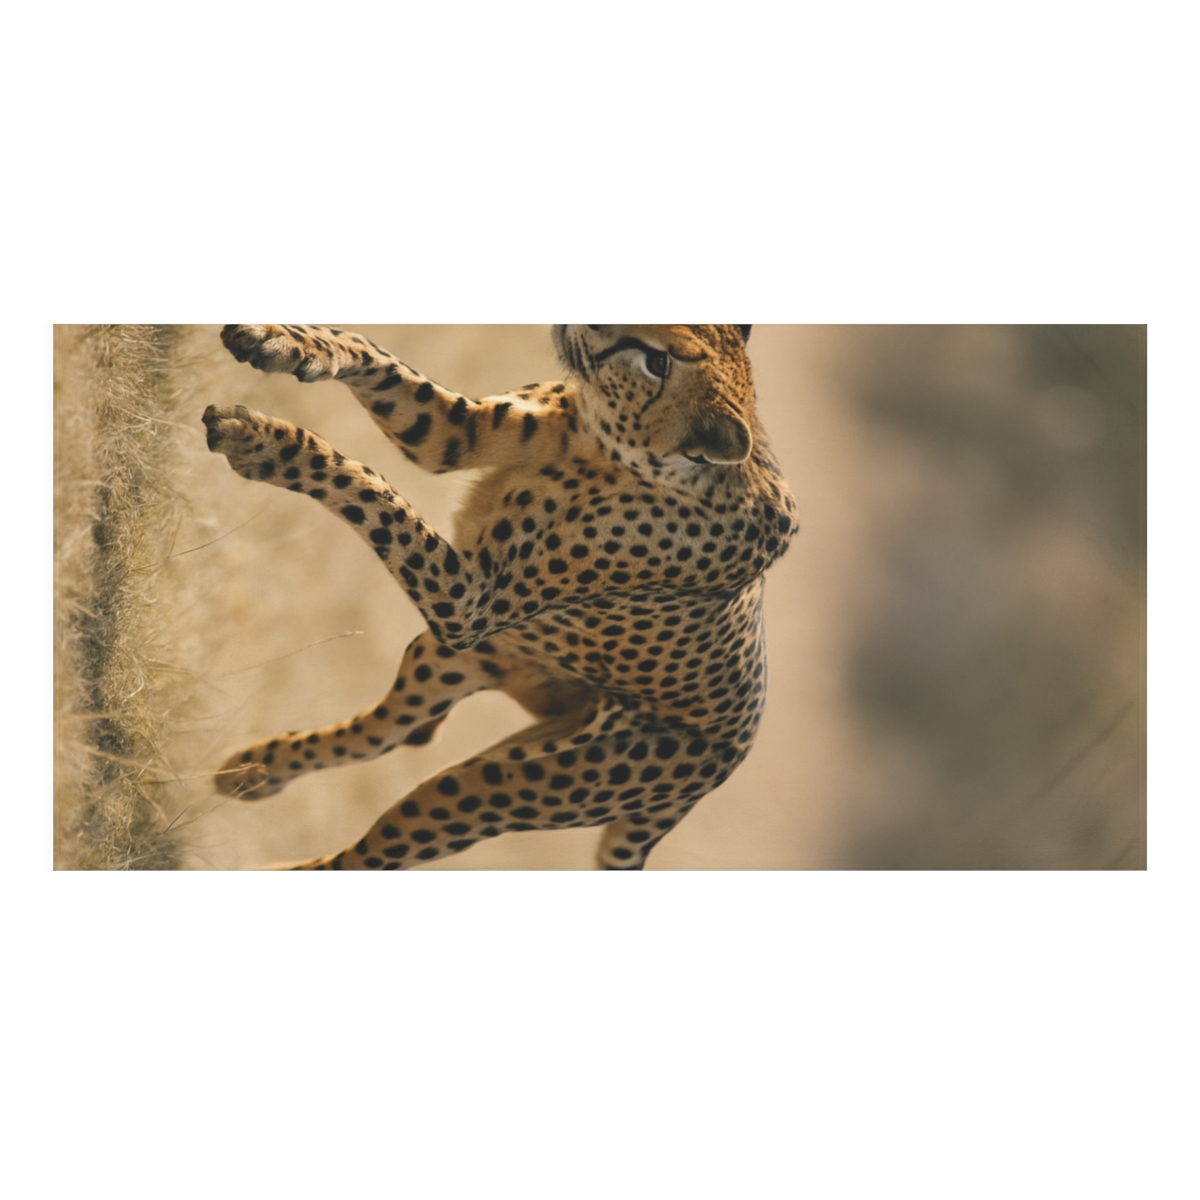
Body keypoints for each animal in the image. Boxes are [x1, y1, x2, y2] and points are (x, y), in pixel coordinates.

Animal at [204, 324, 797, 869]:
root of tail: (726, 764)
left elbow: (376, 494)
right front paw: (285, 343)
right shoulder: (450, 432)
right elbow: (374, 357)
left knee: (372, 851)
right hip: (452, 660)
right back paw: (252, 770)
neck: (611, 449)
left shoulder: (466, 603)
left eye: (658, 362)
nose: (584, 325)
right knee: (388, 735)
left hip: (492, 785)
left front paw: (263, 443)